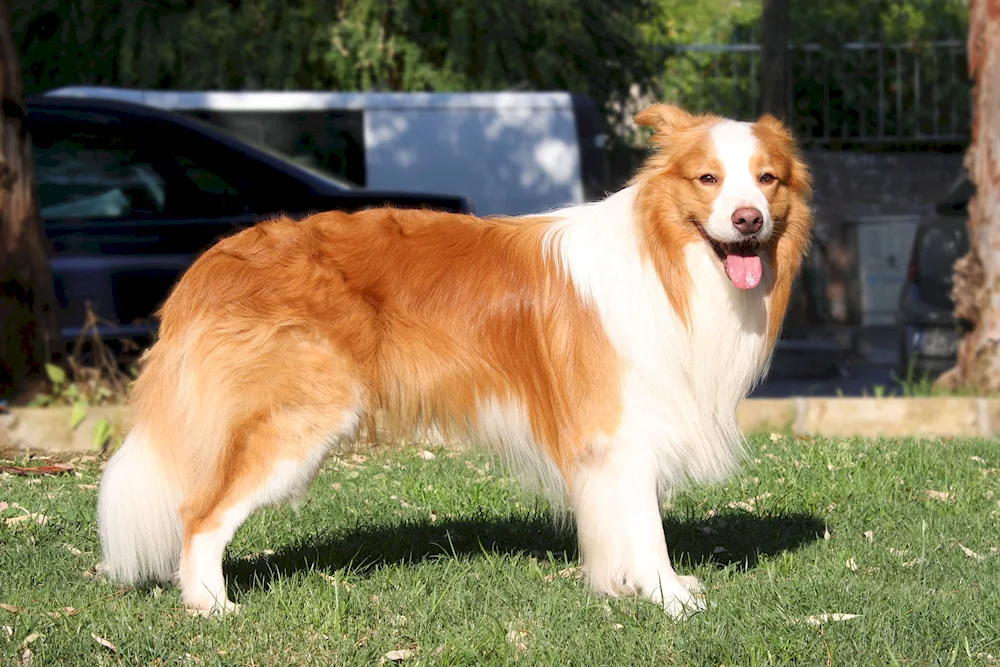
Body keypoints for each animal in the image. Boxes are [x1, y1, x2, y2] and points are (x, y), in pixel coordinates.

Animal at [95, 102, 812, 620]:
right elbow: (647, 524)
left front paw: (627, 586)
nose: (747, 220)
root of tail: (212, 261)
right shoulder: (620, 428)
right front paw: (668, 599)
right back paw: (211, 605)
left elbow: (628, 522)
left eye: (767, 179)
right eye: (708, 179)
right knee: (199, 513)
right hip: (299, 418)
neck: (668, 261)